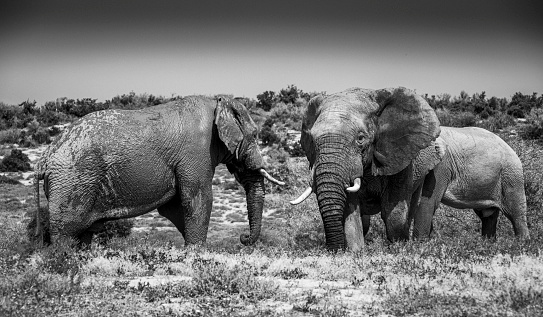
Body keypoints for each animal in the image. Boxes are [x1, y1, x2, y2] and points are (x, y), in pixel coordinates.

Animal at [30, 95, 284, 246]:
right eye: (255, 134)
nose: (243, 238)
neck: (218, 101)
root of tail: (44, 158)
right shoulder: (196, 152)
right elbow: (198, 199)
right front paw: (197, 254)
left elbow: (174, 208)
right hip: (72, 181)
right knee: (67, 233)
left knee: (83, 235)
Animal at [292, 87, 444, 251]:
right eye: (312, 140)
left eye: (360, 139)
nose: (333, 250)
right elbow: (352, 213)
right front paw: (356, 251)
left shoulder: (399, 157)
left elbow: (393, 211)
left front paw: (399, 248)